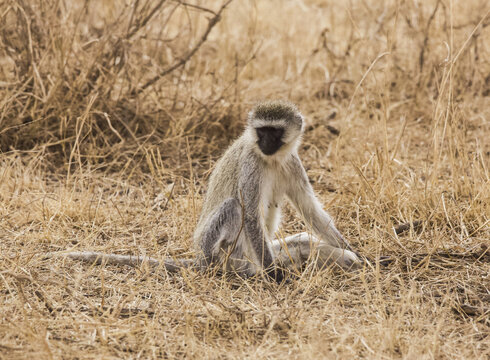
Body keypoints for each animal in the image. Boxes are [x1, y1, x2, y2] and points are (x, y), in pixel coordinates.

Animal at [51, 100, 362, 282]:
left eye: (275, 132)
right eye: (261, 132)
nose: (265, 143)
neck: (271, 159)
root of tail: (200, 257)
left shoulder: (292, 163)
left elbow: (310, 209)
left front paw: (357, 253)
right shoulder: (251, 165)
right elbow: (250, 215)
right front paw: (275, 275)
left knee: (301, 239)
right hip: (215, 246)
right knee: (234, 208)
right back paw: (233, 268)